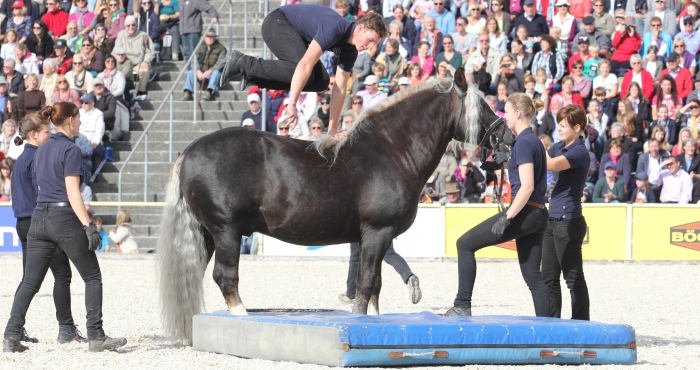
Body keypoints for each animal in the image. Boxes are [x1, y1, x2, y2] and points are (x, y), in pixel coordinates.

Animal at [159, 69, 512, 344]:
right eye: (482, 105)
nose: (507, 135)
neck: (390, 152)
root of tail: (187, 152)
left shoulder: (374, 238)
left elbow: (375, 288)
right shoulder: (377, 232)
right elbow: (366, 285)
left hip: (206, 234)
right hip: (225, 231)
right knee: (225, 277)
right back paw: (241, 320)